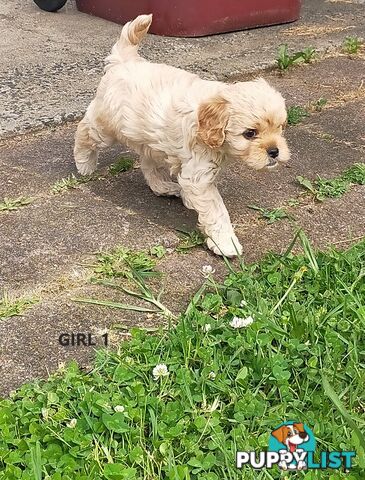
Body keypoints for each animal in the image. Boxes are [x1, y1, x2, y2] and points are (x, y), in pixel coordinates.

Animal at [74, 14, 290, 255]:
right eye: (250, 133)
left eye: (280, 127)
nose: (274, 151)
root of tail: (124, 61)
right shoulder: (199, 176)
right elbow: (216, 209)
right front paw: (226, 242)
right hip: (106, 127)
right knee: (85, 131)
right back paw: (84, 163)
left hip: (150, 140)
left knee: (148, 164)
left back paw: (163, 187)